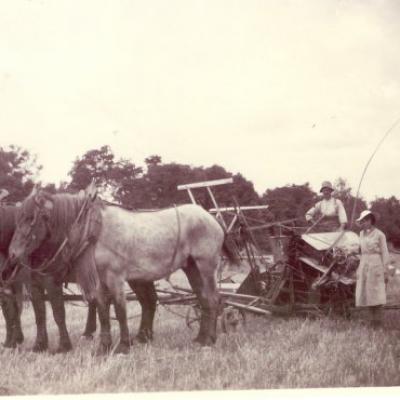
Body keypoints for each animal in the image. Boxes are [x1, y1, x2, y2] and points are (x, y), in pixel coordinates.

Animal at [7, 189, 238, 354]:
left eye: (31, 218)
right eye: (16, 219)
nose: (12, 254)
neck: (93, 231)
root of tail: (212, 217)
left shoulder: (114, 277)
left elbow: (119, 309)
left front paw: (123, 346)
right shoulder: (99, 280)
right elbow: (102, 309)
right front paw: (104, 347)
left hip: (206, 265)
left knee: (212, 299)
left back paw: (209, 340)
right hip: (191, 268)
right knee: (201, 299)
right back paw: (200, 338)